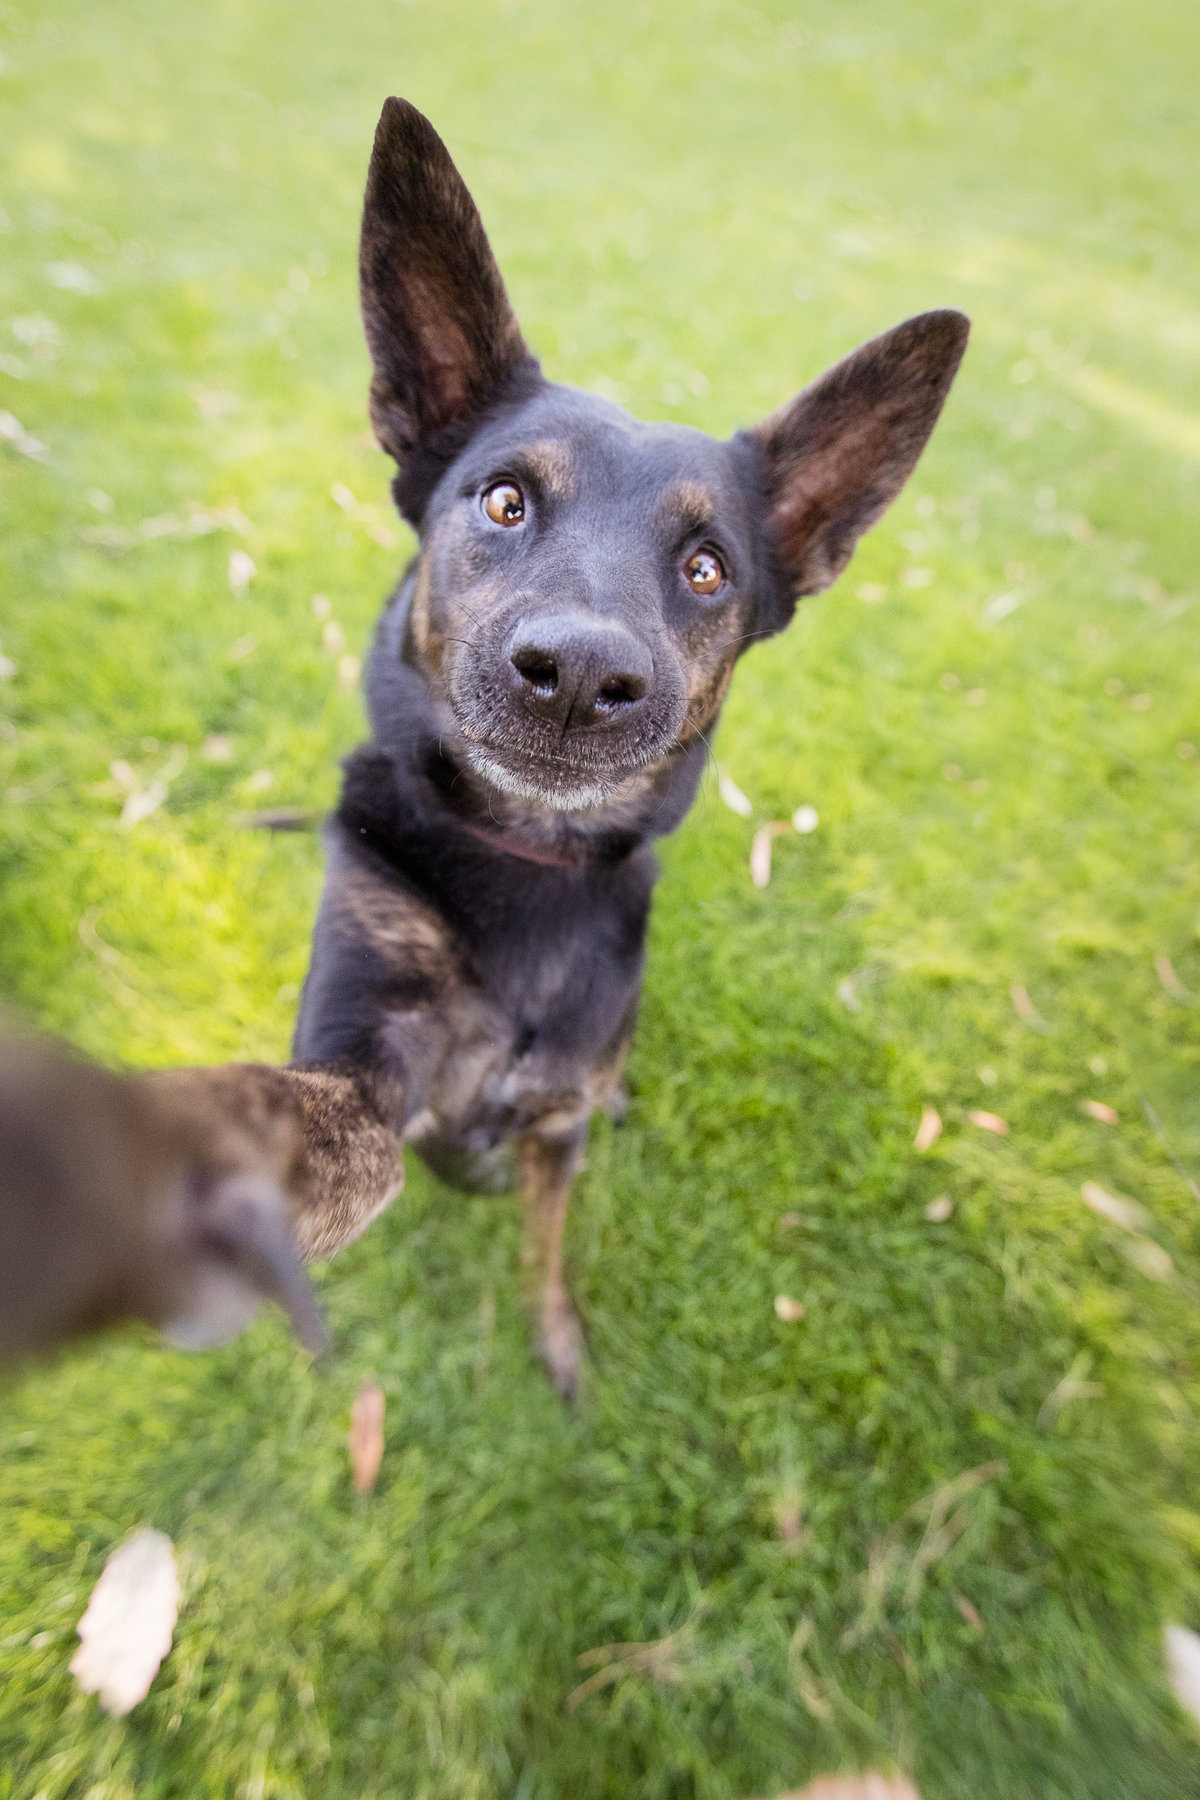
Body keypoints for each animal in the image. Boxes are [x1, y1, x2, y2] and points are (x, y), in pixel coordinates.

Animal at [0, 102, 964, 1389]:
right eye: (504, 500)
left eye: (707, 568)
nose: (580, 678)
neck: (523, 865)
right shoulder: (365, 1065)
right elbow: (297, 1126)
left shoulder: (553, 1128)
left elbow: (545, 1237)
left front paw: (555, 1333)